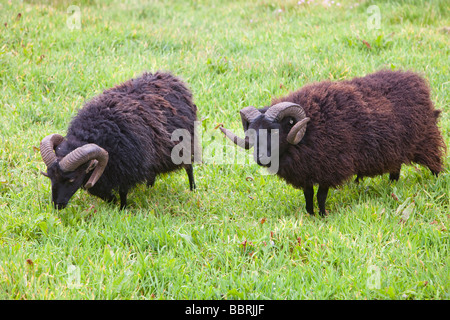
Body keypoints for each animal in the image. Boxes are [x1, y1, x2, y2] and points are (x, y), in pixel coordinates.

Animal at [39, 71, 198, 209]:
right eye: (49, 177)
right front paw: (112, 201)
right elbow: (102, 193)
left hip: (184, 144)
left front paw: (122, 208)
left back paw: (193, 190)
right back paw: (149, 189)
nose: (57, 205)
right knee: (151, 174)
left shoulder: (125, 167)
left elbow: (122, 192)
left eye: (71, 179)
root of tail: (170, 77)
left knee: (189, 168)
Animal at [220, 69, 444, 215]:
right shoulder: (307, 171)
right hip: (394, 148)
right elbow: (308, 195)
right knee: (395, 170)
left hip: (425, 140)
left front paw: (323, 215)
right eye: (251, 133)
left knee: (435, 163)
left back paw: (436, 184)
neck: (309, 130)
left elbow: (320, 195)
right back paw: (391, 186)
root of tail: (416, 80)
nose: (261, 159)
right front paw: (310, 215)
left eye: (275, 131)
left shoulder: (329, 168)